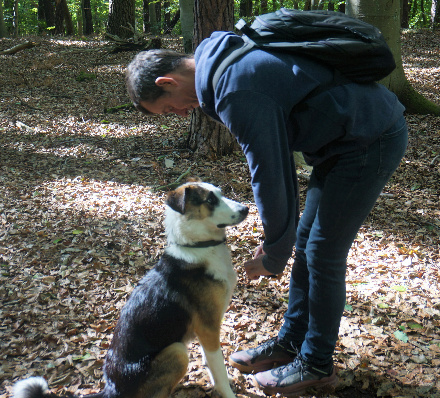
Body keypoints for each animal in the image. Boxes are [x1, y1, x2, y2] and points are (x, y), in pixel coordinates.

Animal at [12, 182, 248, 398]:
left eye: (220, 194)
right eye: (210, 200)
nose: (246, 208)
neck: (199, 246)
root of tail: (111, 389)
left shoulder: (205, 330)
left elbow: (211, 365)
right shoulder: (208, 327)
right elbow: (219, 368)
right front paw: (227, 392)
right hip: (177, 351)